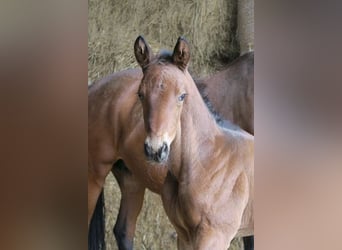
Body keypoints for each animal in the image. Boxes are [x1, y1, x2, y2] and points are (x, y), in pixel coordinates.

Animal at [88, 36, 254, 249]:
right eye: (140, 94)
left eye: (181, 95)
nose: (156, 150)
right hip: (95, 173)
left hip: (130, 177)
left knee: (124, 229)